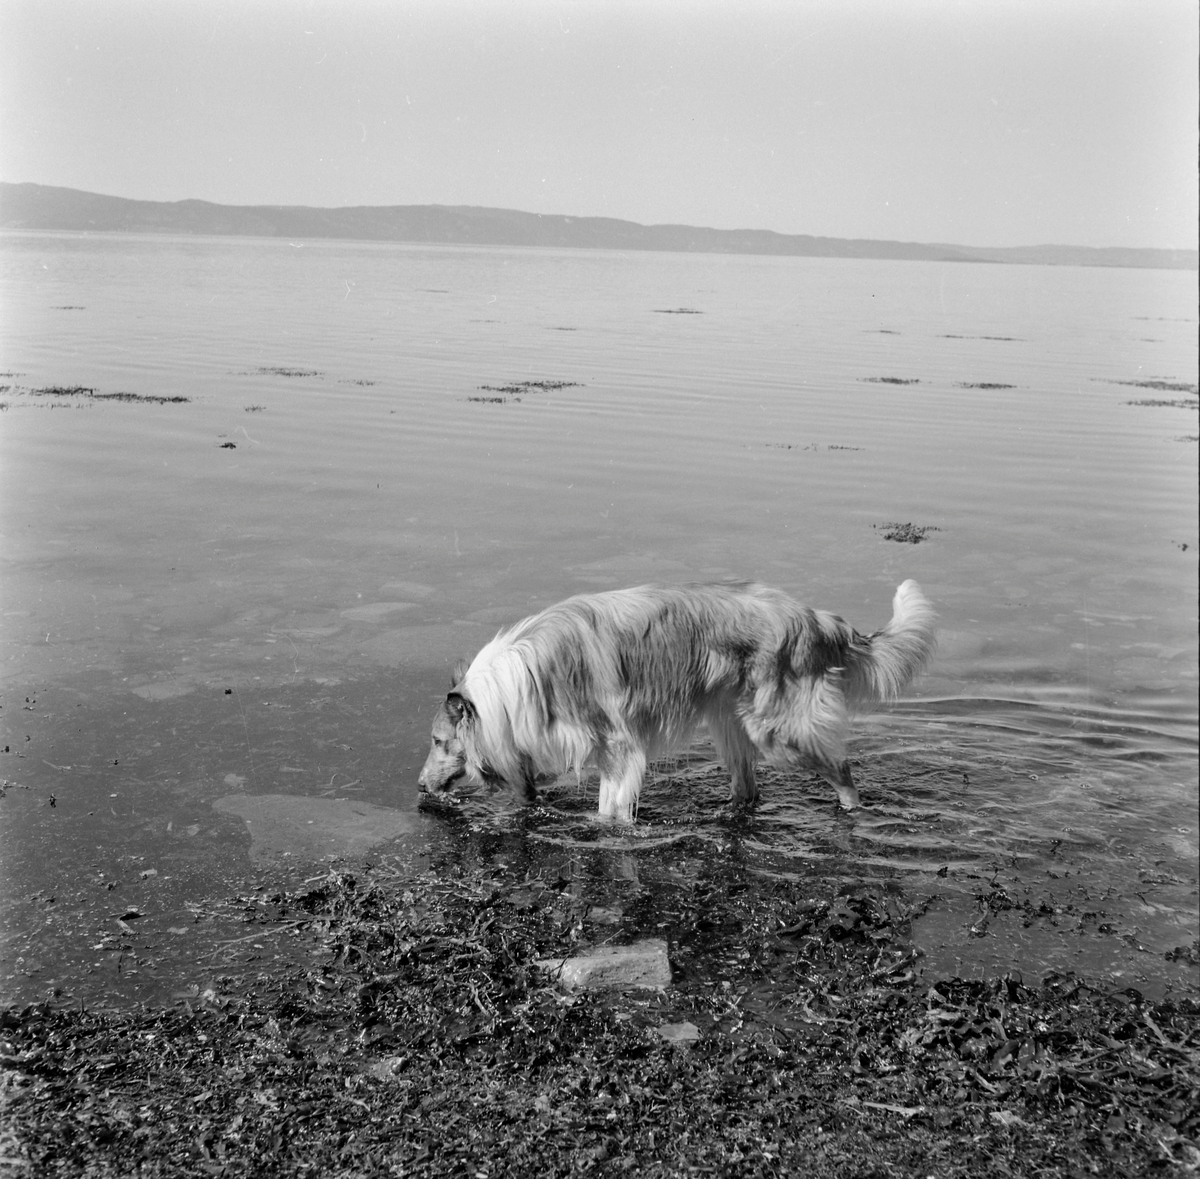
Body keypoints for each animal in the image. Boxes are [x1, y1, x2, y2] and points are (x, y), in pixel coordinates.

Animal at [417, 581, 931, 821]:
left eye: (439, 742)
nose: (419, 787)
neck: (523, 679)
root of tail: (819, 619)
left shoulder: (620, 748)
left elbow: (610, 810)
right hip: (730, 725)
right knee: (748, 789)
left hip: (780, 730)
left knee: (843, 771)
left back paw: (853, 812)